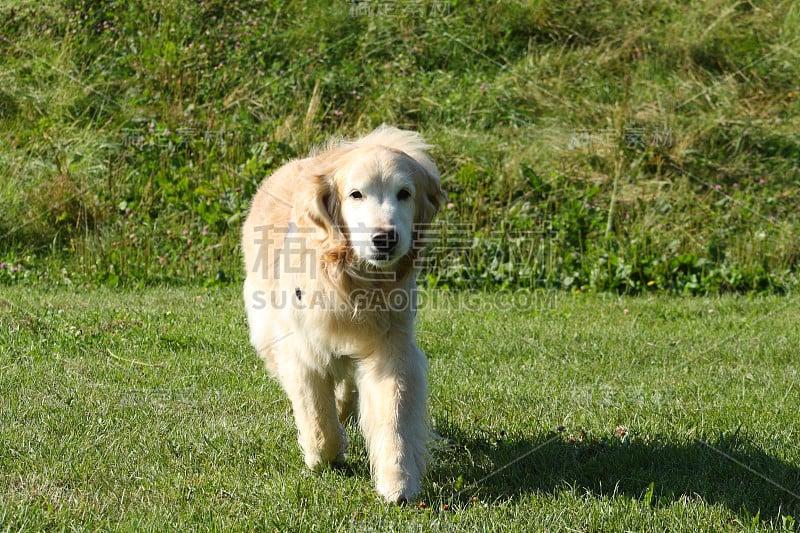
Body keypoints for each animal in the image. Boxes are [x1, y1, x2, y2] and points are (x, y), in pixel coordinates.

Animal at [241, 125, 446, 502]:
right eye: (356, 194)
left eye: (404, 193)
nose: (384, 238)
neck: (352, 281)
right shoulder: (301, 350)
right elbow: (316, 415)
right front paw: (325, 456)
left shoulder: (391, 348)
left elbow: (394, 415)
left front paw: (398, 480)